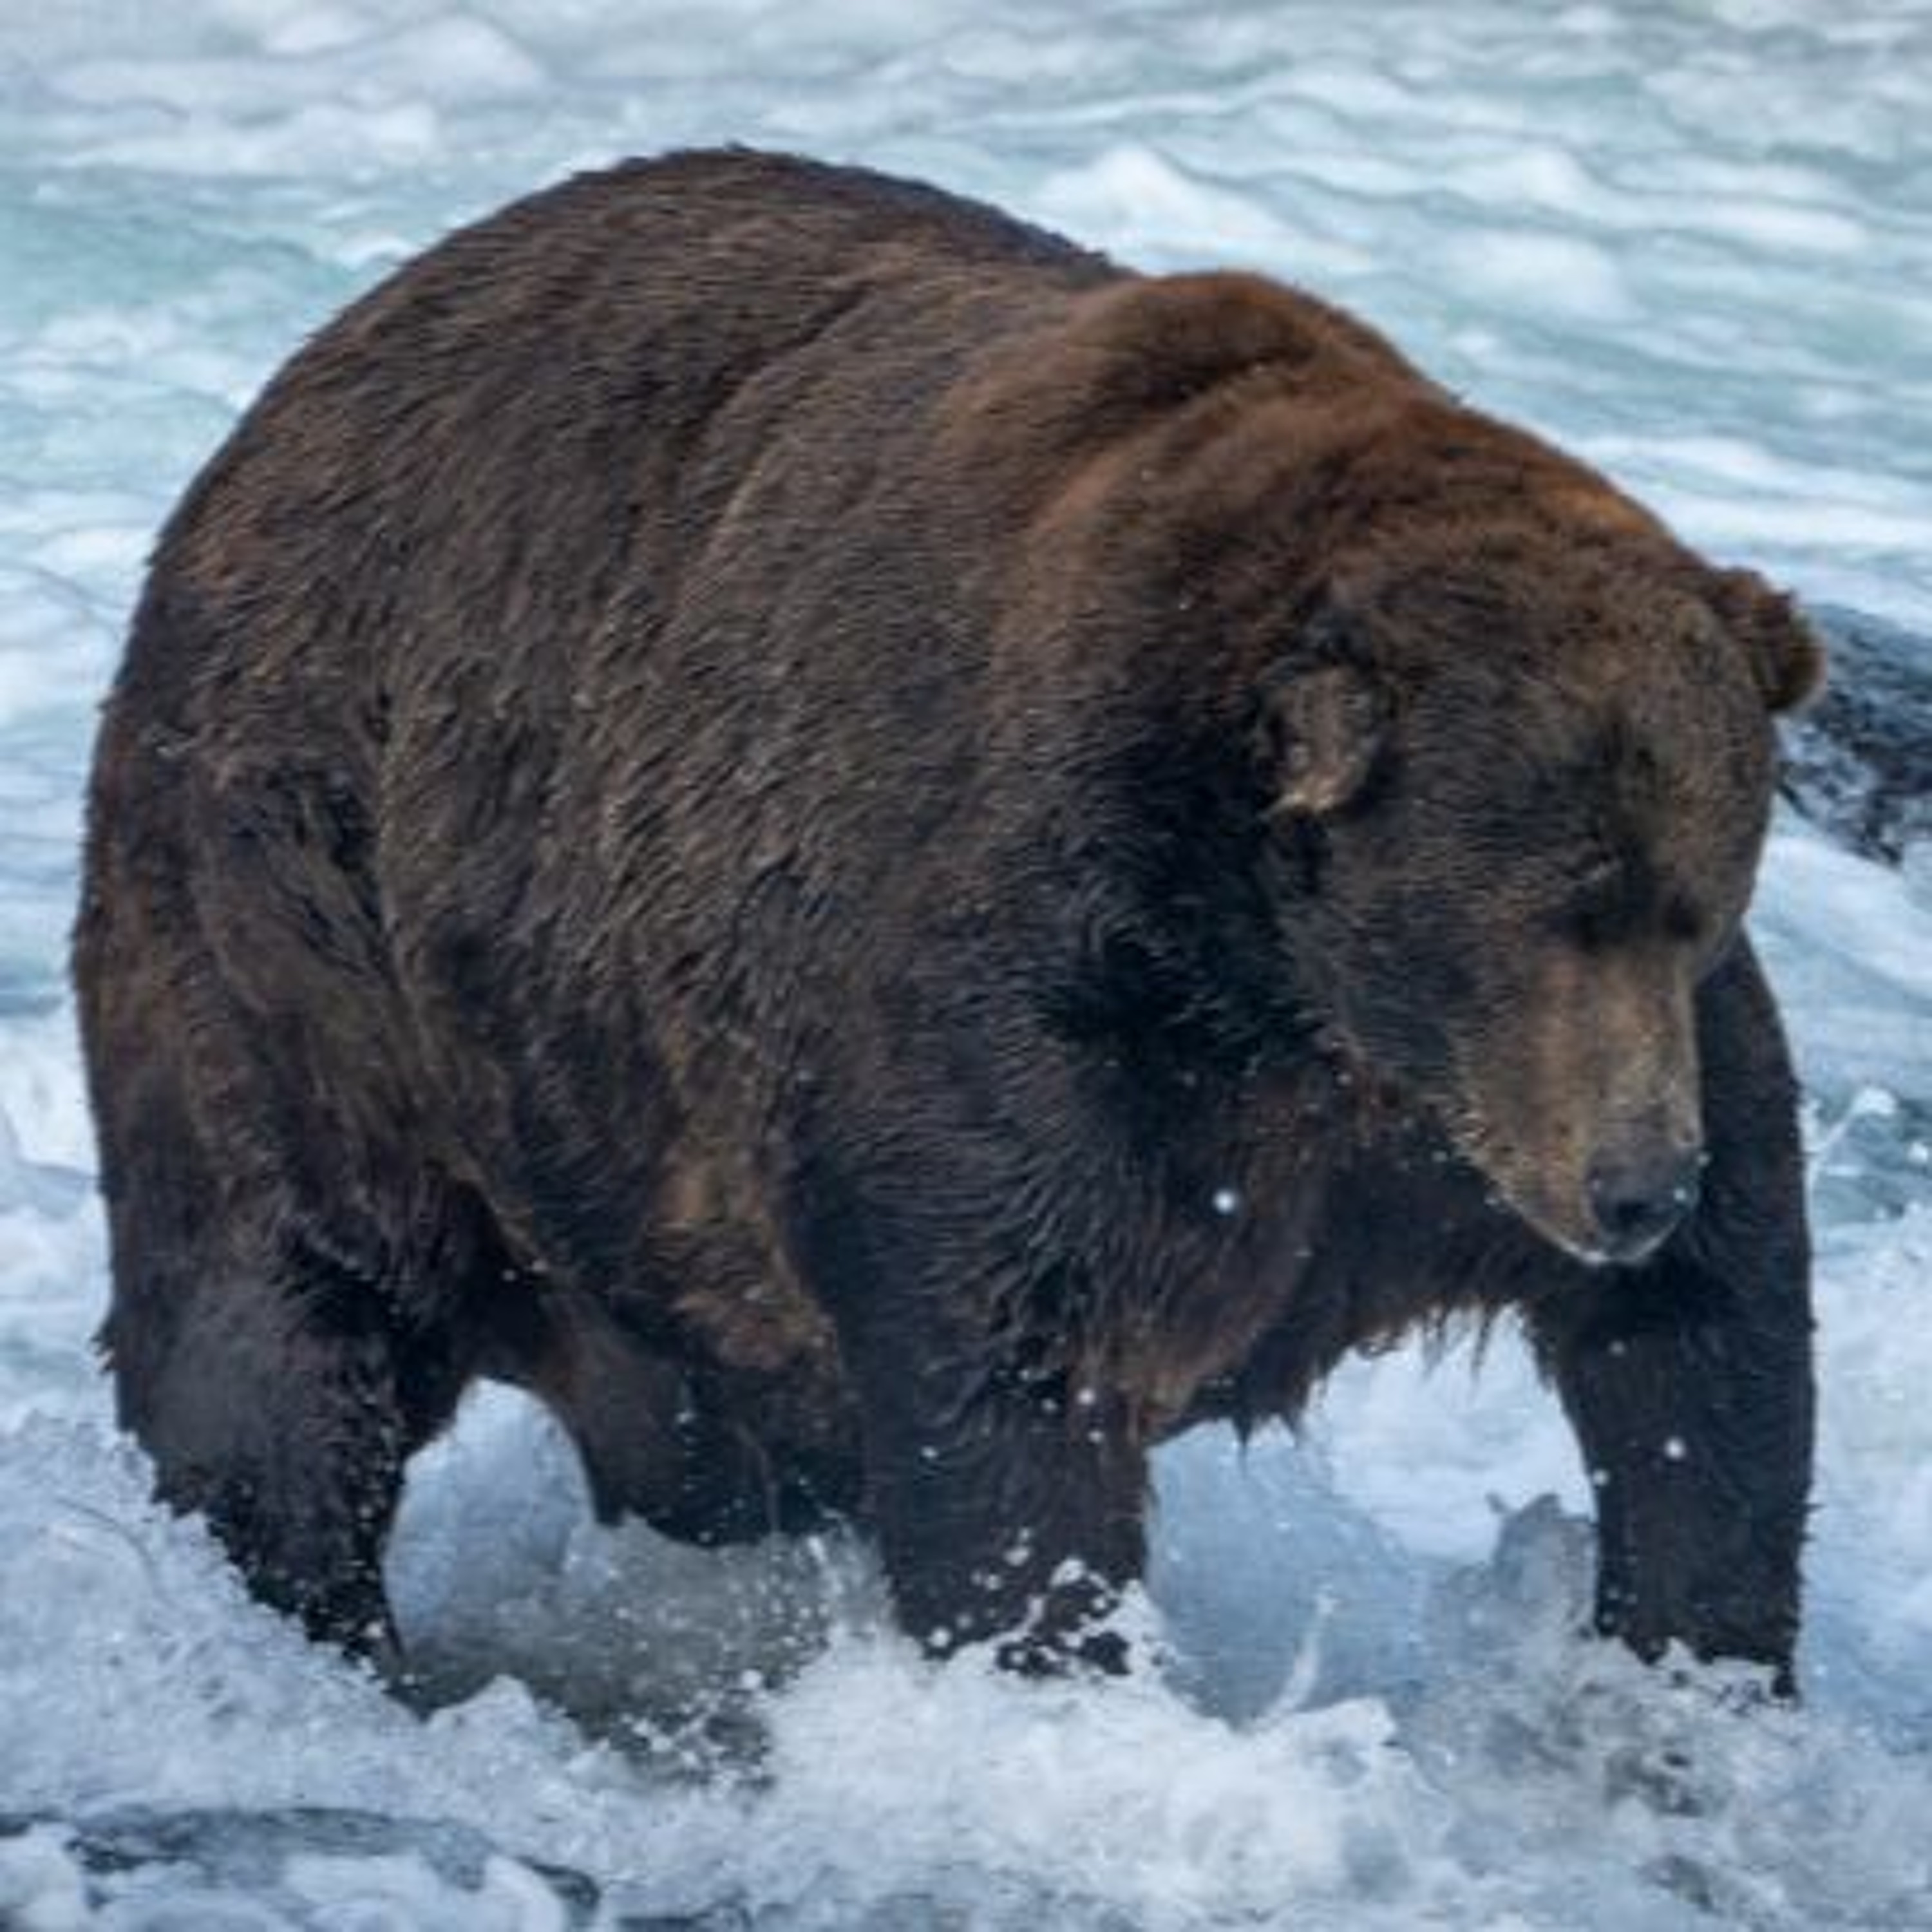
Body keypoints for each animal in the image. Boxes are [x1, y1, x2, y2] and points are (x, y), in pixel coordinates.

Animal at [75, 149, 1822, 1688]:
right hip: (309, 926)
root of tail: (293, 390)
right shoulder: (1042, 1009)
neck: (1277, 975)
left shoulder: (1454, 1121)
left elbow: (1708, 1348)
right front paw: (1057, 1669)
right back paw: (315, 1621)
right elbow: (1009, 1376)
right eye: (1543, 913)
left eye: (1691, 902)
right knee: (283, 1312)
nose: (1631, 1184)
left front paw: (1686, 1674)